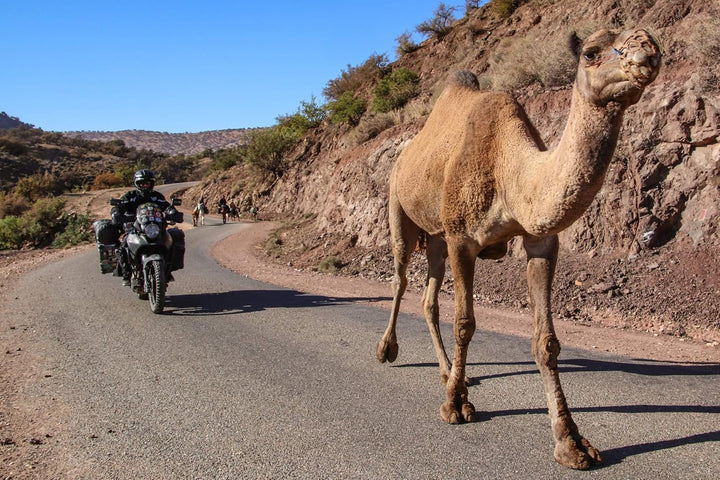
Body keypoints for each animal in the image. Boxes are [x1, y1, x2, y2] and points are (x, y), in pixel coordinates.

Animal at [376, 27, 664, 468]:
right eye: (591, 52)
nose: (648, 49)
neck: (510, 171)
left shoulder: (540, 241)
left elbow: (546, 341)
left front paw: (571, 442)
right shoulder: (462, 238)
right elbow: (465, 324)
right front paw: (456, 406)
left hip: (437, 237)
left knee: (428, 298)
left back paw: (449, 372)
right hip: (400, 206)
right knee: (400, 277)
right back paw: (388, 350)